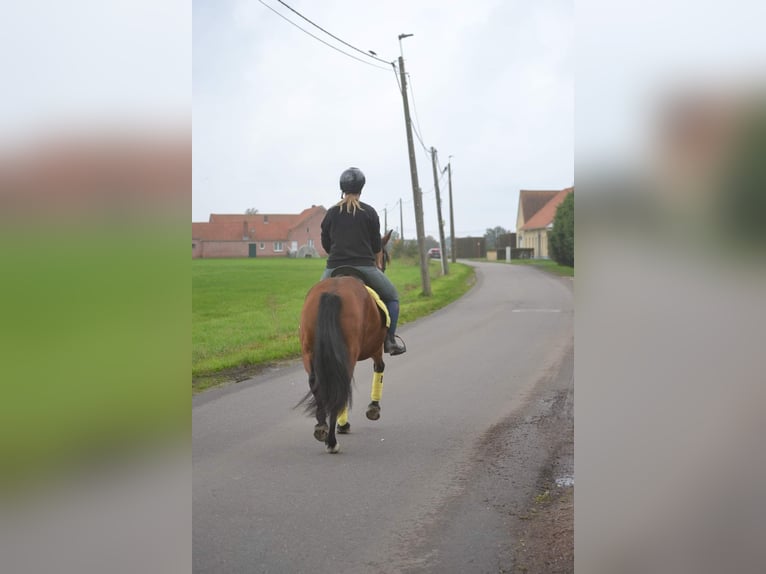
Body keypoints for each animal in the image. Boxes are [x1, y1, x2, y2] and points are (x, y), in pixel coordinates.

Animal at [300, 231, 396, 454]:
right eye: (384, 255)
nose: (383, 267)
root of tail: (333, 292)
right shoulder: (376, 349)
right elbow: (380, 368)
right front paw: (373, 409)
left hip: (309, 352)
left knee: (318, 383)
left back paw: (321, 428)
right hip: (348, 354)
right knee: (341, 385)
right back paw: (333, 439)